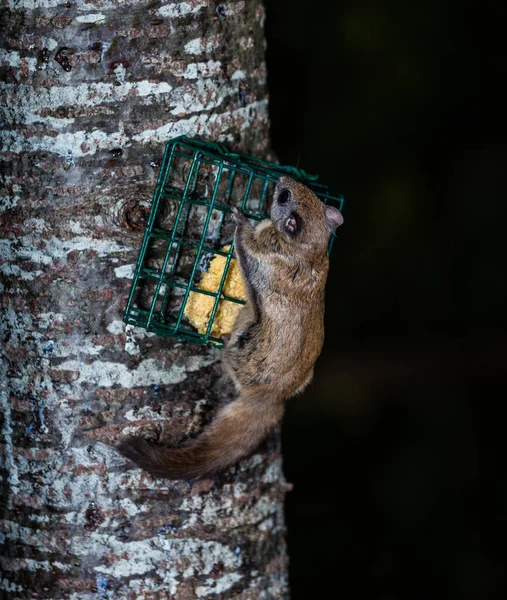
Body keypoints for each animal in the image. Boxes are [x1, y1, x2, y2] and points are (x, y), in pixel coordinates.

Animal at [117, 176, 344, 480]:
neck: (308, 249)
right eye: (299, 191)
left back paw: (223, 342)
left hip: (245, 346)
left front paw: (239, 216)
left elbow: (244, 239)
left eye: (283, 197)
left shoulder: (262, 245)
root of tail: (273, 397)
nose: (282, 179)